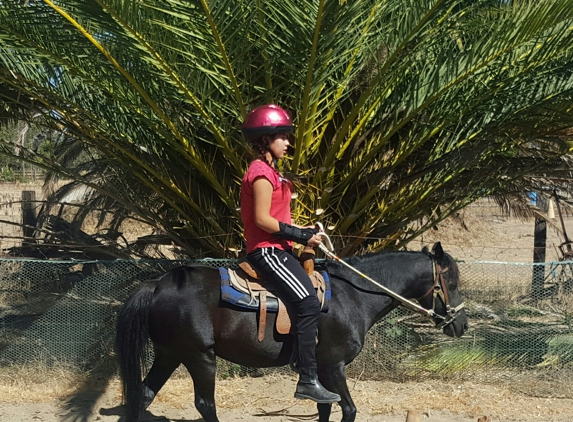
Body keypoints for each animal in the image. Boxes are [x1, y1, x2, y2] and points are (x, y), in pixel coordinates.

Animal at [115, 244, 464, 422]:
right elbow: (348, 409)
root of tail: (159, 284)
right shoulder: (333, 365)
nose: (462, 325)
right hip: (200, 358)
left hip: (169, 354)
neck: (352, 296)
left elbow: (325, 408)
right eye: (453, 282)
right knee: (204, 404)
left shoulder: (320, 373)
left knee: (143, 395)